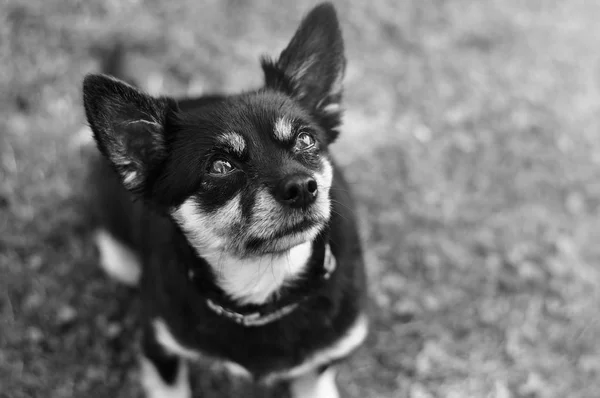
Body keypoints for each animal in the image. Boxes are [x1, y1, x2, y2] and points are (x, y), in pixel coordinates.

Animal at [82, 3, 368, 398]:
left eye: (306, 140)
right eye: (220, 166)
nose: (303, 187)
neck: (263, 288)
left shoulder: (325, 357)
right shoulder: (160, 348)